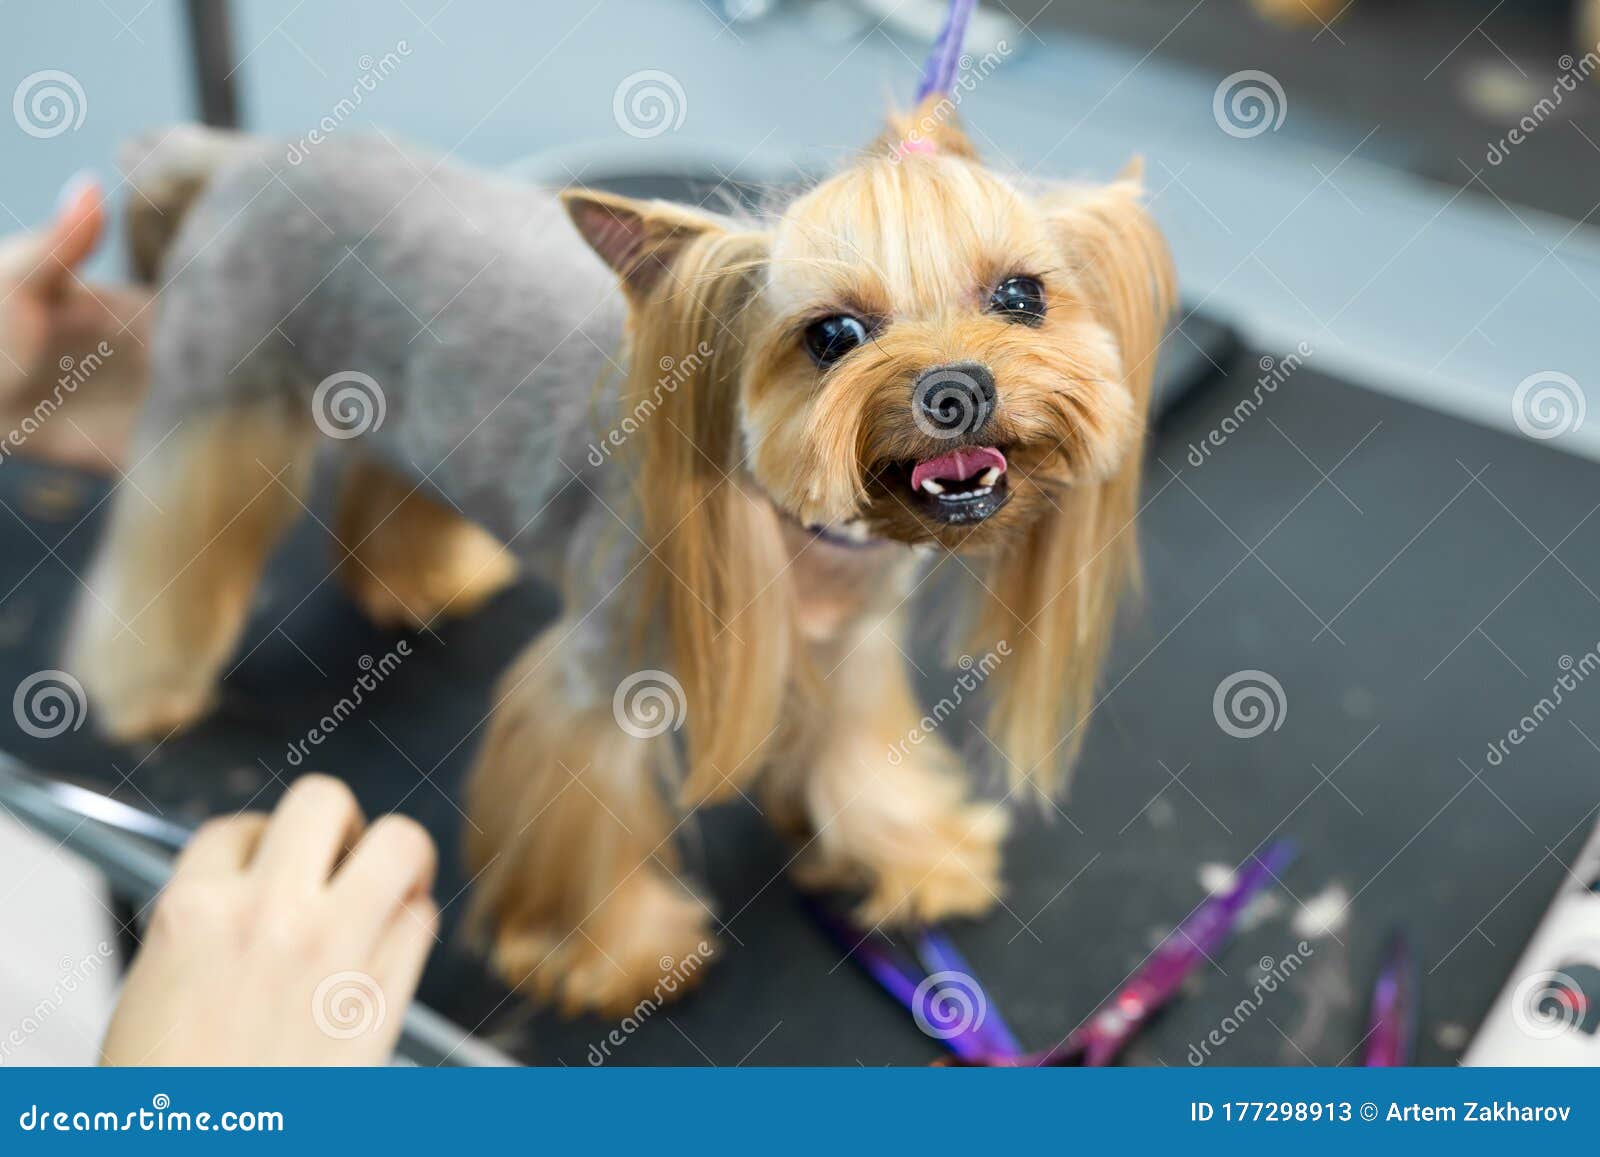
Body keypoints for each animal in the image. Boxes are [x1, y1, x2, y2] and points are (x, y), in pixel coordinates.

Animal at [68, 102, 1177, 1011]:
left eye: (1021, 296)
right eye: (832, 335)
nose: (959, 386)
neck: (808, 536)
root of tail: (241, 155)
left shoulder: (849, 644)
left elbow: (862, 753)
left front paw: (911, 853)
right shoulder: (602, 674)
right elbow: (581, 809)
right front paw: (608, 955)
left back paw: (422, 578)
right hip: (217, 389)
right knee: (171, 527)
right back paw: (141, 683)